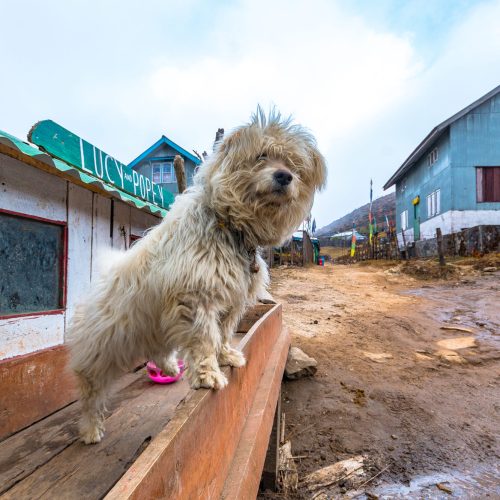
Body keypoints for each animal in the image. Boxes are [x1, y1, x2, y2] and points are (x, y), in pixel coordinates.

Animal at [68, 108, 326, 442]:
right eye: (262, 155)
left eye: (294, 165)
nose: (285, 176)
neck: (231, 227)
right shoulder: (195, 299)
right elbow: (205, 340)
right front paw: (208, 374)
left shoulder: (229, 302)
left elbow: (223, 334)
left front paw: (226, 356)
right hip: (104, 347)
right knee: (91, 388)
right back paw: (90, 427)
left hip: (153, 324)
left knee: (158, 349)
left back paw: (168, 368)